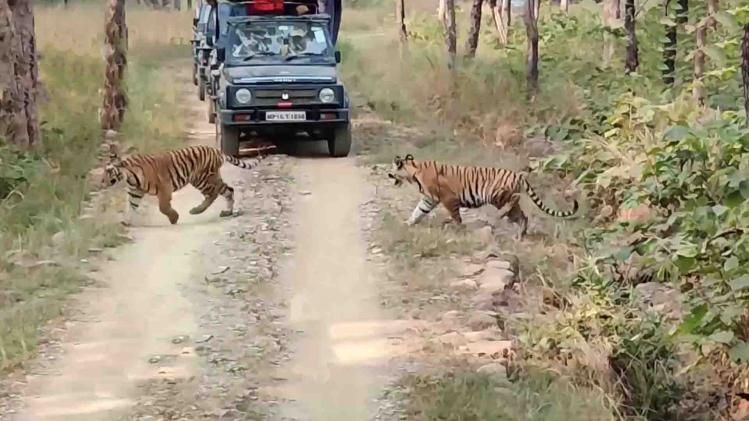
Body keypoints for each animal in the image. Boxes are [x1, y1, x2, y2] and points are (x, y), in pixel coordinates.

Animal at [101, 144, 276, 226]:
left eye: (108, 172)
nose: (101, 182)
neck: (128, 177)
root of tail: (217, 150)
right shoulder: (135, 192)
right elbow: (131, 206)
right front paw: (126, 221)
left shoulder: (164, 187)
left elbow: (163, 207)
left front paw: (174, 218)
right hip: (210, 178)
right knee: (229, 190)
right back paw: (226, 212)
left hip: (201, 179)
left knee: (214, 194)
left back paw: (196, 210)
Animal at [386, 154, 579, 239]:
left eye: (392, 169)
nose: (388, 174)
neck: (413, 173)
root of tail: (518, 175)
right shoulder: (429, 199)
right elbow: (418, 211)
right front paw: (407, 223)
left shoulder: (448, 198)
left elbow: (455, 215)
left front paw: (457, 227)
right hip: (505, 200)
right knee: (521, 215)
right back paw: (520, 234)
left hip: (496, 194)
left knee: (514, 200)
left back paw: (501, 217)